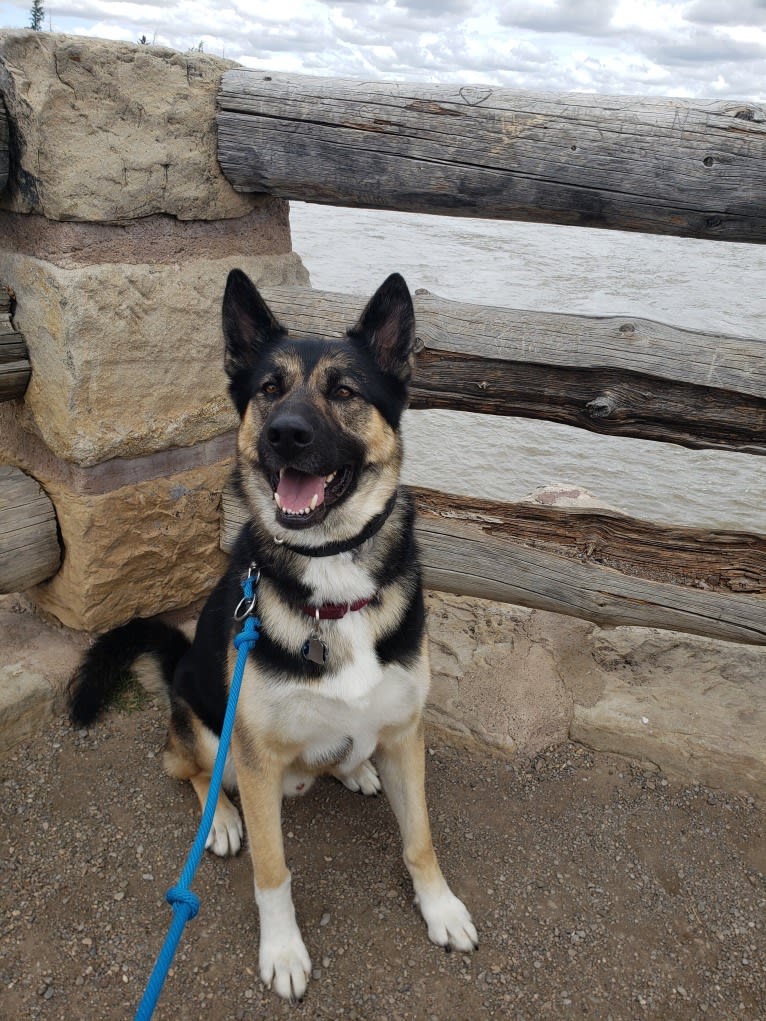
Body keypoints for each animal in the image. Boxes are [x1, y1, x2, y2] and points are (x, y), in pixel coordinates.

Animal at [72, 267, 480, 1000]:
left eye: (344, 391)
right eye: (268, 388)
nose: (286, 434)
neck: (332, 570)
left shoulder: (406, 732)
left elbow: (420, 840)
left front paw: (441, 909)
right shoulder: (258, 759)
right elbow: (272, 870)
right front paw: (284, 951)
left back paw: (354, 769)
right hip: (207, 726)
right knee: (188, 768)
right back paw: (224, 818)